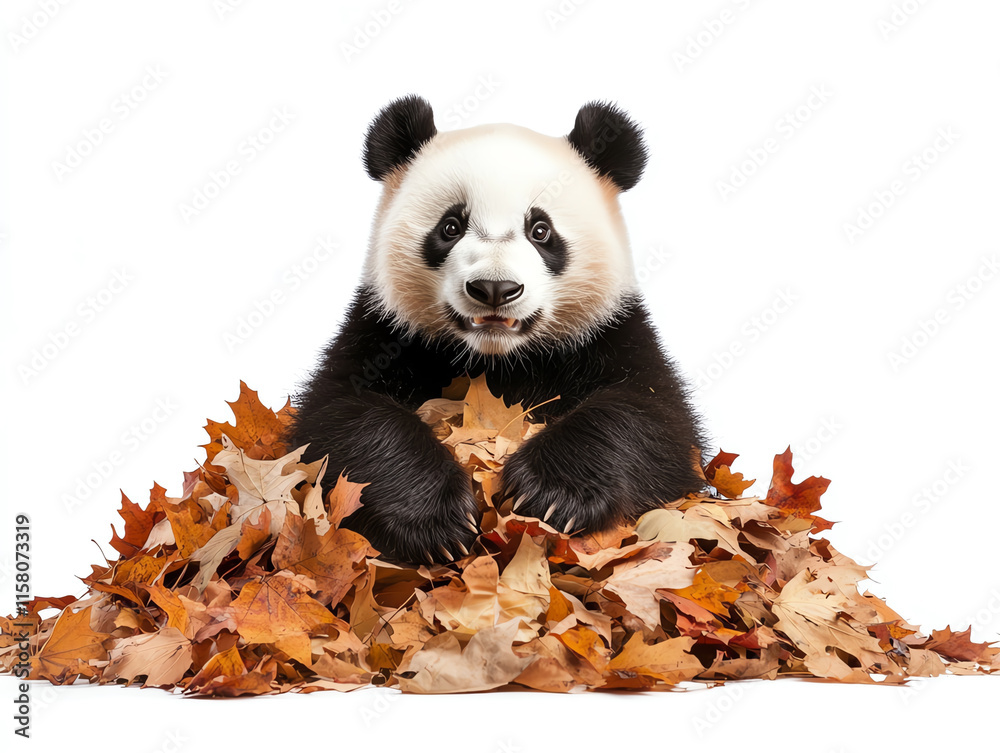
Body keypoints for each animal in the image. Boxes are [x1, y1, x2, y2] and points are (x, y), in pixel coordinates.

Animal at [290, 95, 708, 566]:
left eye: (540, 230)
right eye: (450, 226)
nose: (494, 289)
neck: (497, 360)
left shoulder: (611, 332)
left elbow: (654, 420)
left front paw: (550, 495)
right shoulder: (385, 332)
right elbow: (340, 419)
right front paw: (436, 523)